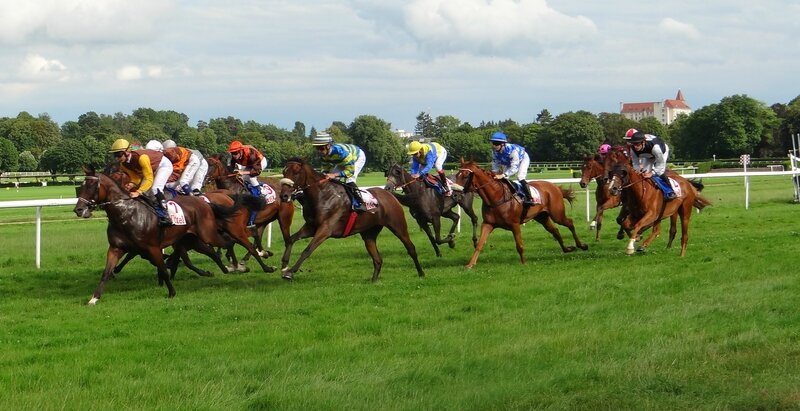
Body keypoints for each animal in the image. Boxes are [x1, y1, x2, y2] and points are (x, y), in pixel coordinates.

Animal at [72, 166, 238, 304]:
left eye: (91, 186)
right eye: (81, 186)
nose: (78, 209)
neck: (126, 215)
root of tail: (204, 202)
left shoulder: (153, 247)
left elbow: (163, 269)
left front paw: (171, 292)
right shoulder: (116, 248)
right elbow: (106, 272)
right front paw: (94, 298)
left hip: (206, 234)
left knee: (228, 242)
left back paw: (235, 265)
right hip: (192, 240)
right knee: (213, 252)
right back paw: (225, 269)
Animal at [278, 156, 424, 282]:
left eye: (296, 172)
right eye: (284, 172)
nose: (284, 196)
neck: (322, 195)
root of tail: (389, 193)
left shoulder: (325, 229)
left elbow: (307, 250)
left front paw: (290, 272)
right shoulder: (311, 226)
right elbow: (291, 239)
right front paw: (284, 265)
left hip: (398, 226)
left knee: (411, 248)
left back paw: (421, 273)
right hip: (369, 233)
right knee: (378, 259)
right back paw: (373, 281)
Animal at [454, 159, 592, 268]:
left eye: (465, 175)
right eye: (456, 174)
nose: (455, 194)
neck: (496, 197)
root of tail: (555, 187)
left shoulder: (515, 224)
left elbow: (519, 245)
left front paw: (524, 263)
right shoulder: (488, 224)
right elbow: (480, 244)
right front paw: (470, 264)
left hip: (557, 214)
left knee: (570, 223)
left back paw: (582, 245)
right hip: (542, 217)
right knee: (555, 231)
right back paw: (568, 249)